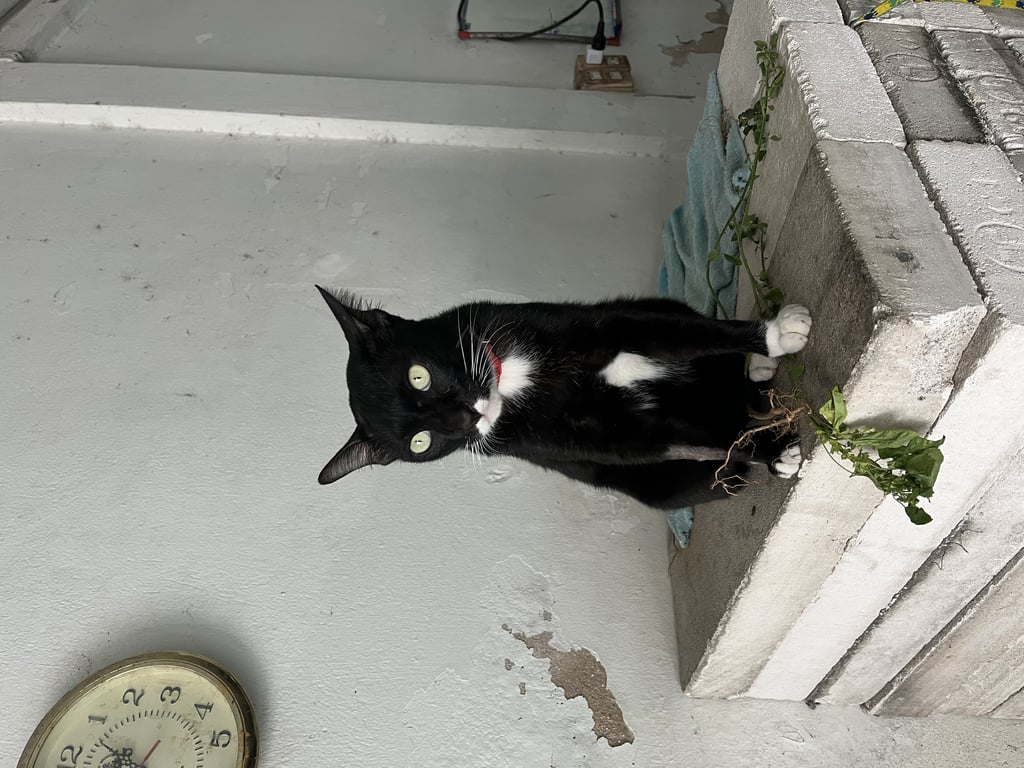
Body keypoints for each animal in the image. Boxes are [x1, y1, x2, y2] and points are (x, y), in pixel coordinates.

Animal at [315, 285, 811, 510]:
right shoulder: (609, 441)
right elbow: (688, 443)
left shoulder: (602, 326)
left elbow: (695, 333)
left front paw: (775, 336)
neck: (506, 378)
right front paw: (774, 450)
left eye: (419, 376)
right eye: (421, 443)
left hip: (657, 301)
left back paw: (756, 367)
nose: (465, 417)